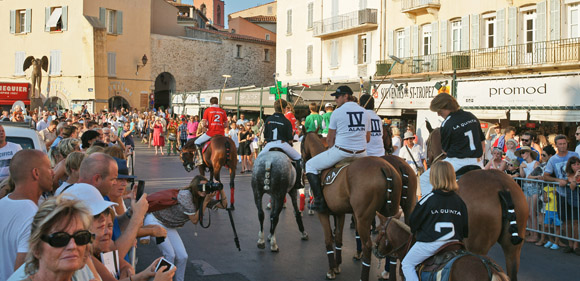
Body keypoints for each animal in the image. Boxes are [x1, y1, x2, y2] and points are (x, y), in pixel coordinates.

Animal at [302, 132, 402, 280]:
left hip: (363, 219)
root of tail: (386, 168)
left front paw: (331, 270)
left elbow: (328, 240)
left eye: (302, 143)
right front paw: (337, 265)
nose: (301, 162)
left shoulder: (323, 214)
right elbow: (338, 238)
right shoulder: (339, 213)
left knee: (367, 246)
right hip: (391, 214)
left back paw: (363, 276)